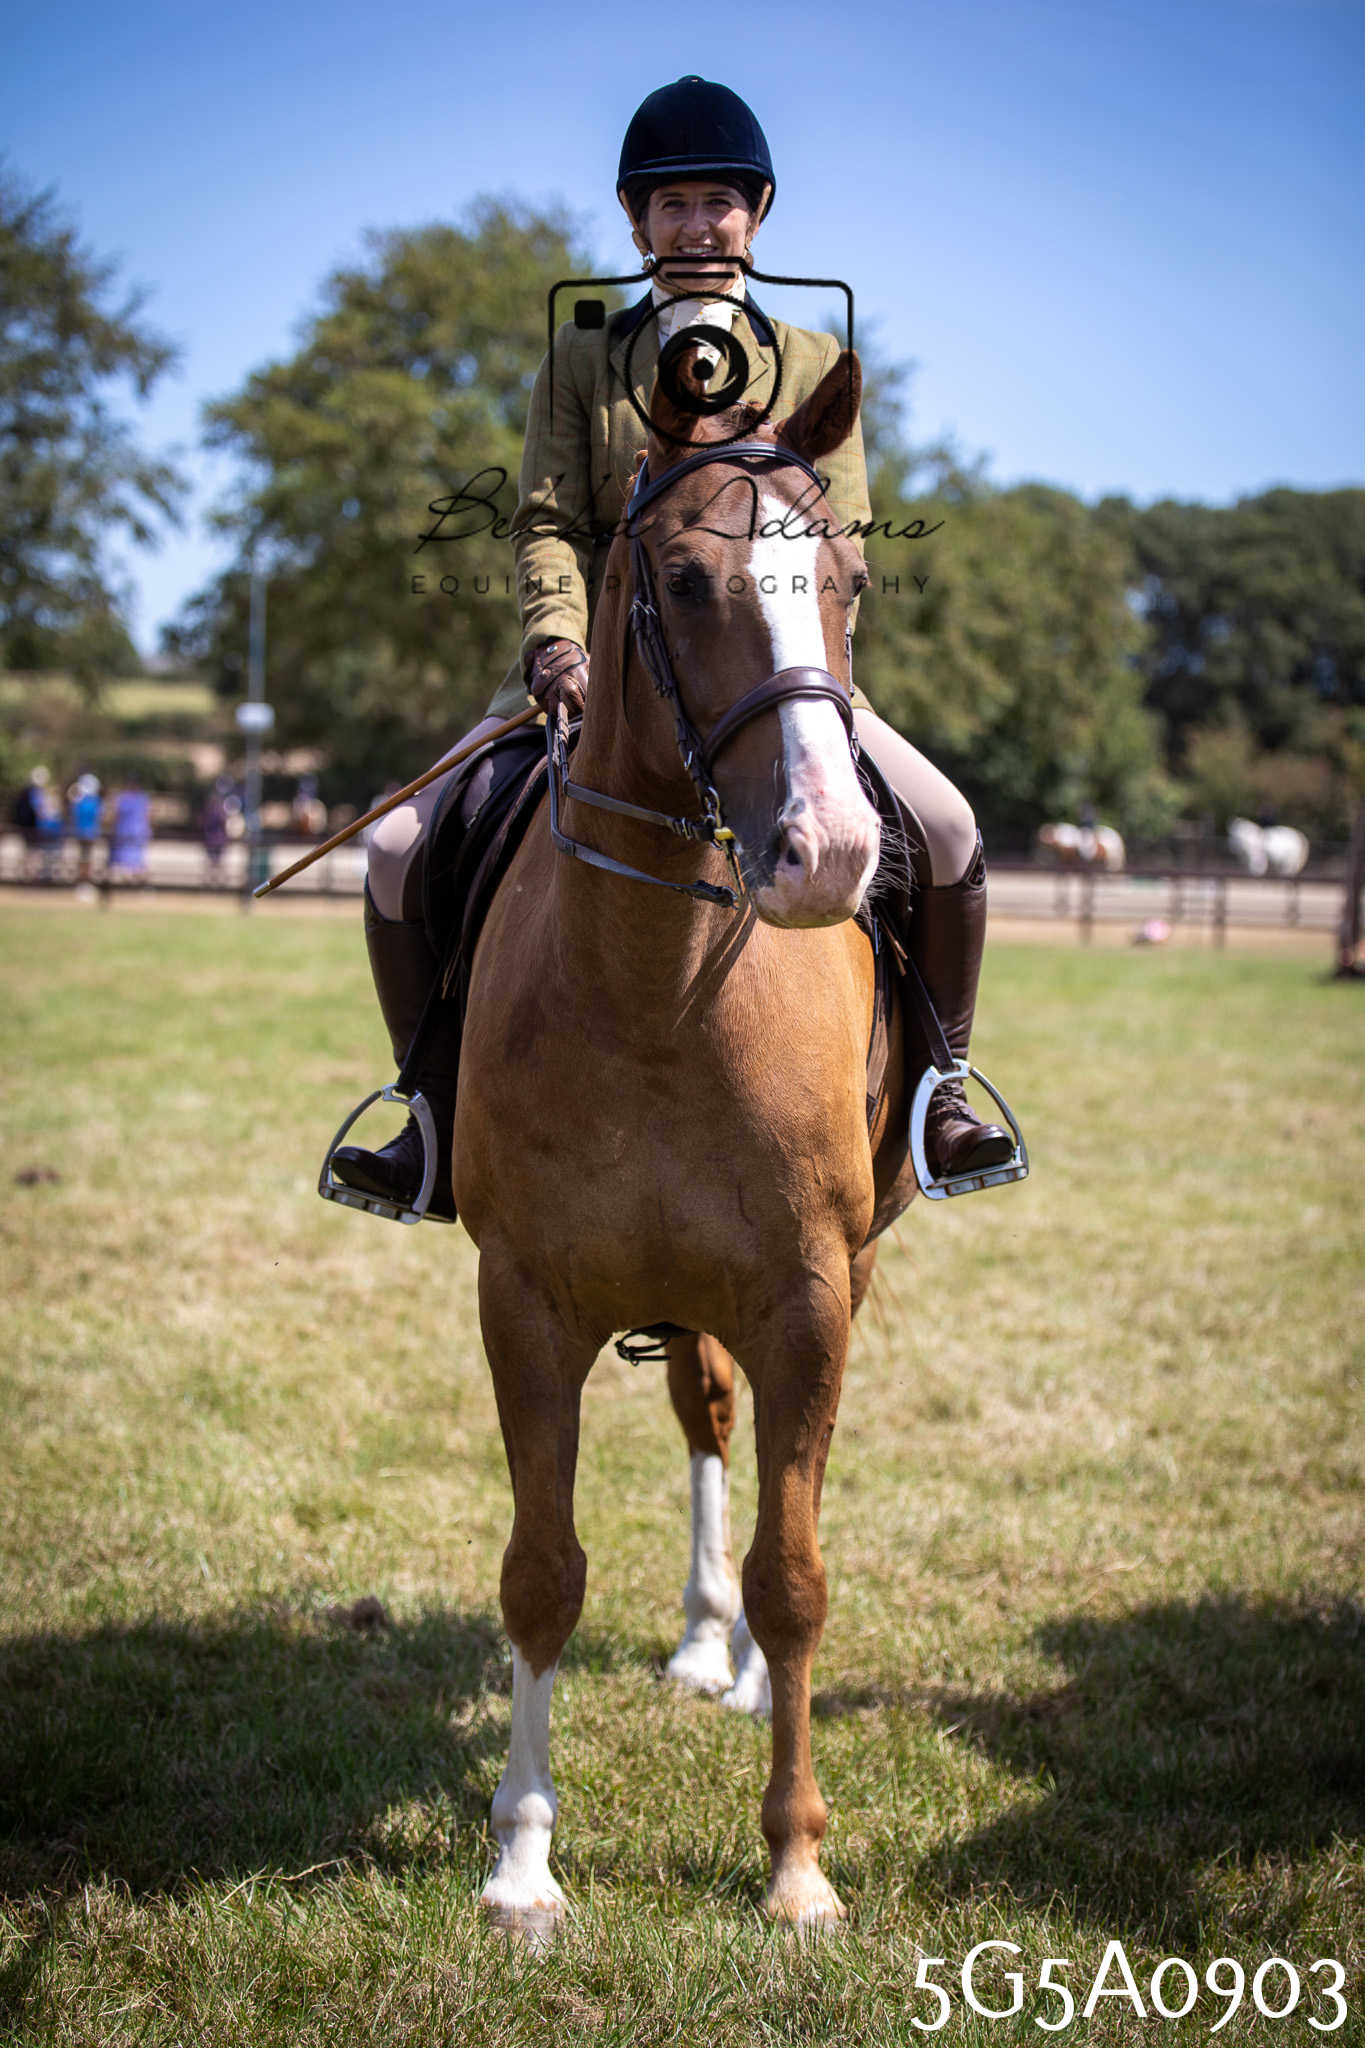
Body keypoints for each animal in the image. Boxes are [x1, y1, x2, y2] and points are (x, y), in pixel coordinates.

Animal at [455, 346, 920, 1936]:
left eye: (849, 575)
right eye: (683, 580)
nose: (829, 854)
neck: (658, 986)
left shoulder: (808, 1295)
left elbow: (799, 1573)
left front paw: (797, 1866)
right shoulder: (526, 1299)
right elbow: (541, 1571)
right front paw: (522, 1860)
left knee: (751, 1464)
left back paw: (733, 1662)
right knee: (707, 1424)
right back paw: (701, 1643)